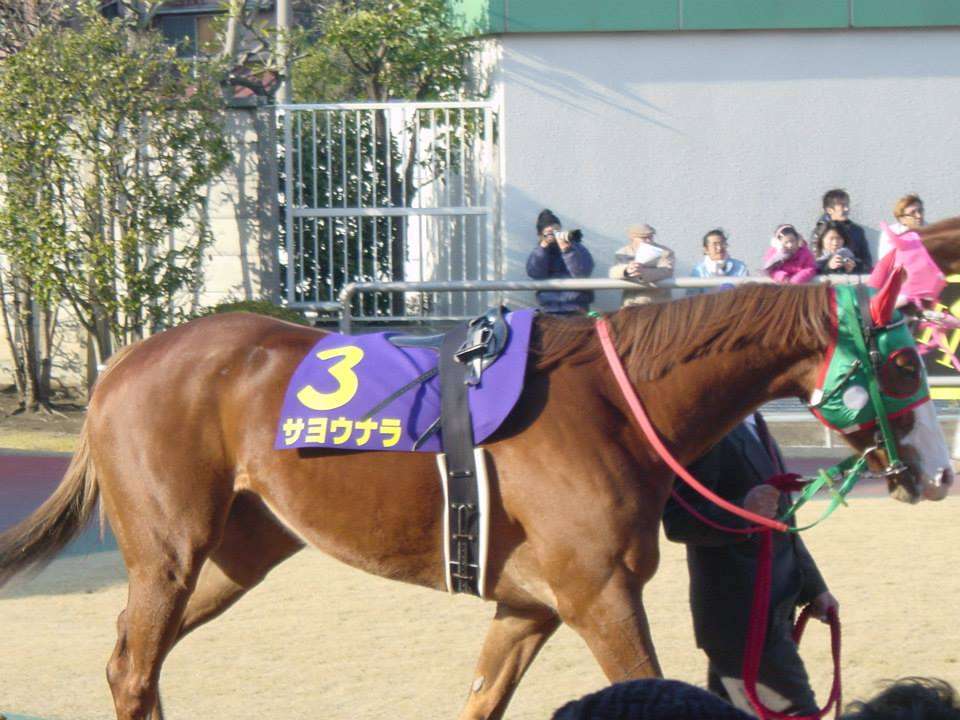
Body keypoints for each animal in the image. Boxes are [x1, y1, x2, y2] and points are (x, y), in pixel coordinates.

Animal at [0, 279, 951, 720]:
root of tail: (124, 361)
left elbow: (482, 698)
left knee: (137, 660)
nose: (941, 473)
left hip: (238, 554)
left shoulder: (531, 604)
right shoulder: (599, 594)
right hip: (169, 550)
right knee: (133, 666)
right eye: (905, 361)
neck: (612, 401)